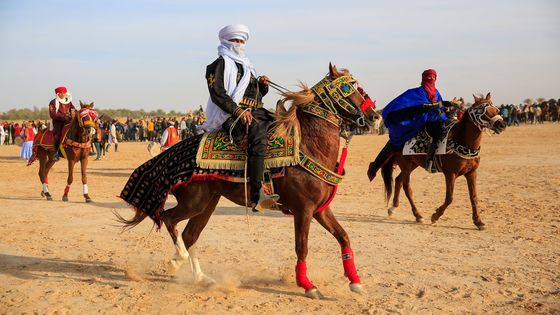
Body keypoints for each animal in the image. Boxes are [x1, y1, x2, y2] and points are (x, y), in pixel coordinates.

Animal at [117, 63, 378, 300]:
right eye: (348, 88)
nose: (374, 116)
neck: (309, 145)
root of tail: (174, 153)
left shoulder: (320, 209)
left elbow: (343, 236)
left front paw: (355, 282)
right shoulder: (303, 210)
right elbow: (302, 247)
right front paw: (307, 285)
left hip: (208, 203)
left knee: (190, 235)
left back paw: (202, 278)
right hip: (194, 202)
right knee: (169, 219)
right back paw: (176, 261)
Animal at [368, 93, 508, 230]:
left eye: (496, 109)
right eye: (482, 110)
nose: (501, 125)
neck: (461, 141)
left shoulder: (471, 173)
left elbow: (474, 197)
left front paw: (478, 222)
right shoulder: (450, 174)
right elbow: (449, 198)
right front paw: (435, 216)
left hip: (413, 164)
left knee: (398, 181)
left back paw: (393, 209)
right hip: (406, 164)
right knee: (407, 187)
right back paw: (418, 215)